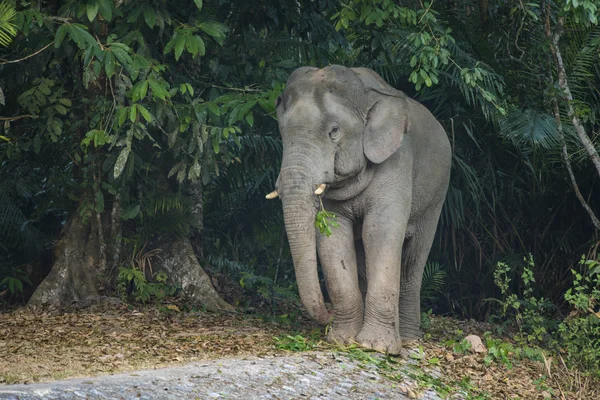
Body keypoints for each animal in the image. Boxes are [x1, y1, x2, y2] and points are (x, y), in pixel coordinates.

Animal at [268, 64, 450, 354]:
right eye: (282, 134)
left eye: (334, 131)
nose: (327, 314)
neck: (366, 95)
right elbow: (333, 237)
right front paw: (342, 340)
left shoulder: (397, 160)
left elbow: (379, 231)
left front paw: (377, 347)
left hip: (437, 195)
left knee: (414, 259)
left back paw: (409, 339)